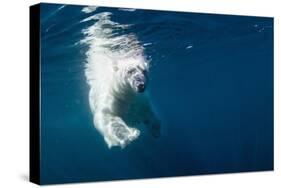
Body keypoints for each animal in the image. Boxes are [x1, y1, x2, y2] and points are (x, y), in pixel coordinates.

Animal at [81, 11, 160, 148]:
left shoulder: (141, 101)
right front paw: (131, 134)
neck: (126, 95)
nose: (141, 85)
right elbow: (107, 118)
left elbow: (148, 113)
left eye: (144, 71)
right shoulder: (112, 100)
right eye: (130, 71)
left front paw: (155, 130)